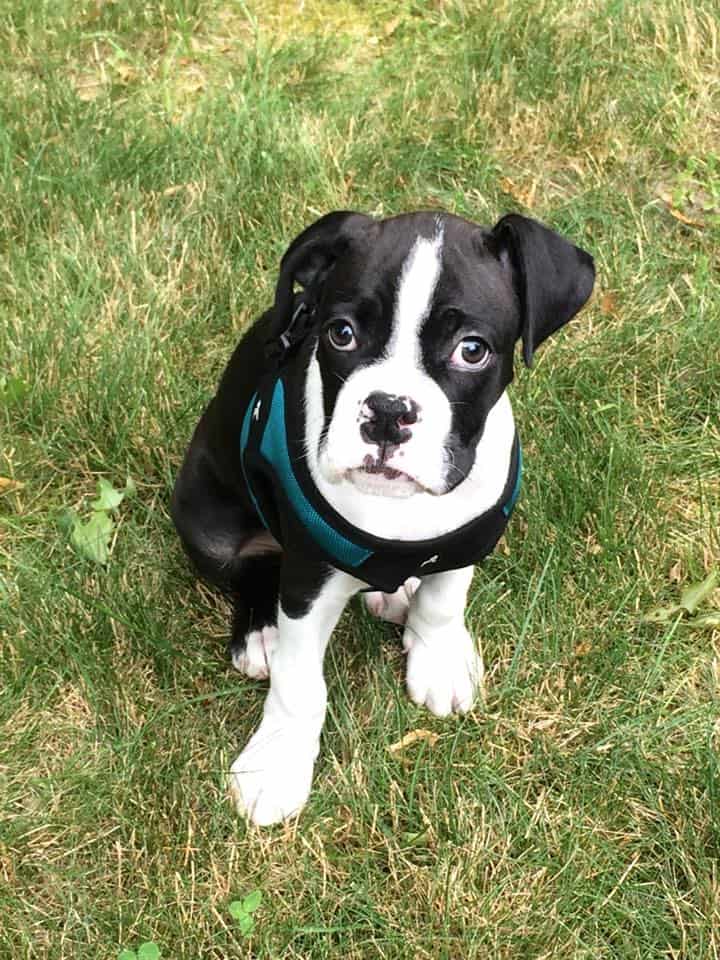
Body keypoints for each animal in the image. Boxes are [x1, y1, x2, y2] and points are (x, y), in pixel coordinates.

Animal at [172, 212, 592, 824]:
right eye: (340, 334)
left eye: (472, 350)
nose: (389, 412)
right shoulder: (309, 580)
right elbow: (300, 683)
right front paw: (277, 761)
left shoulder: (470, 535)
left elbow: (444, 602)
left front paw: (437, 657)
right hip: (204, 512)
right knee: (248, 567)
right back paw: (261, 633)